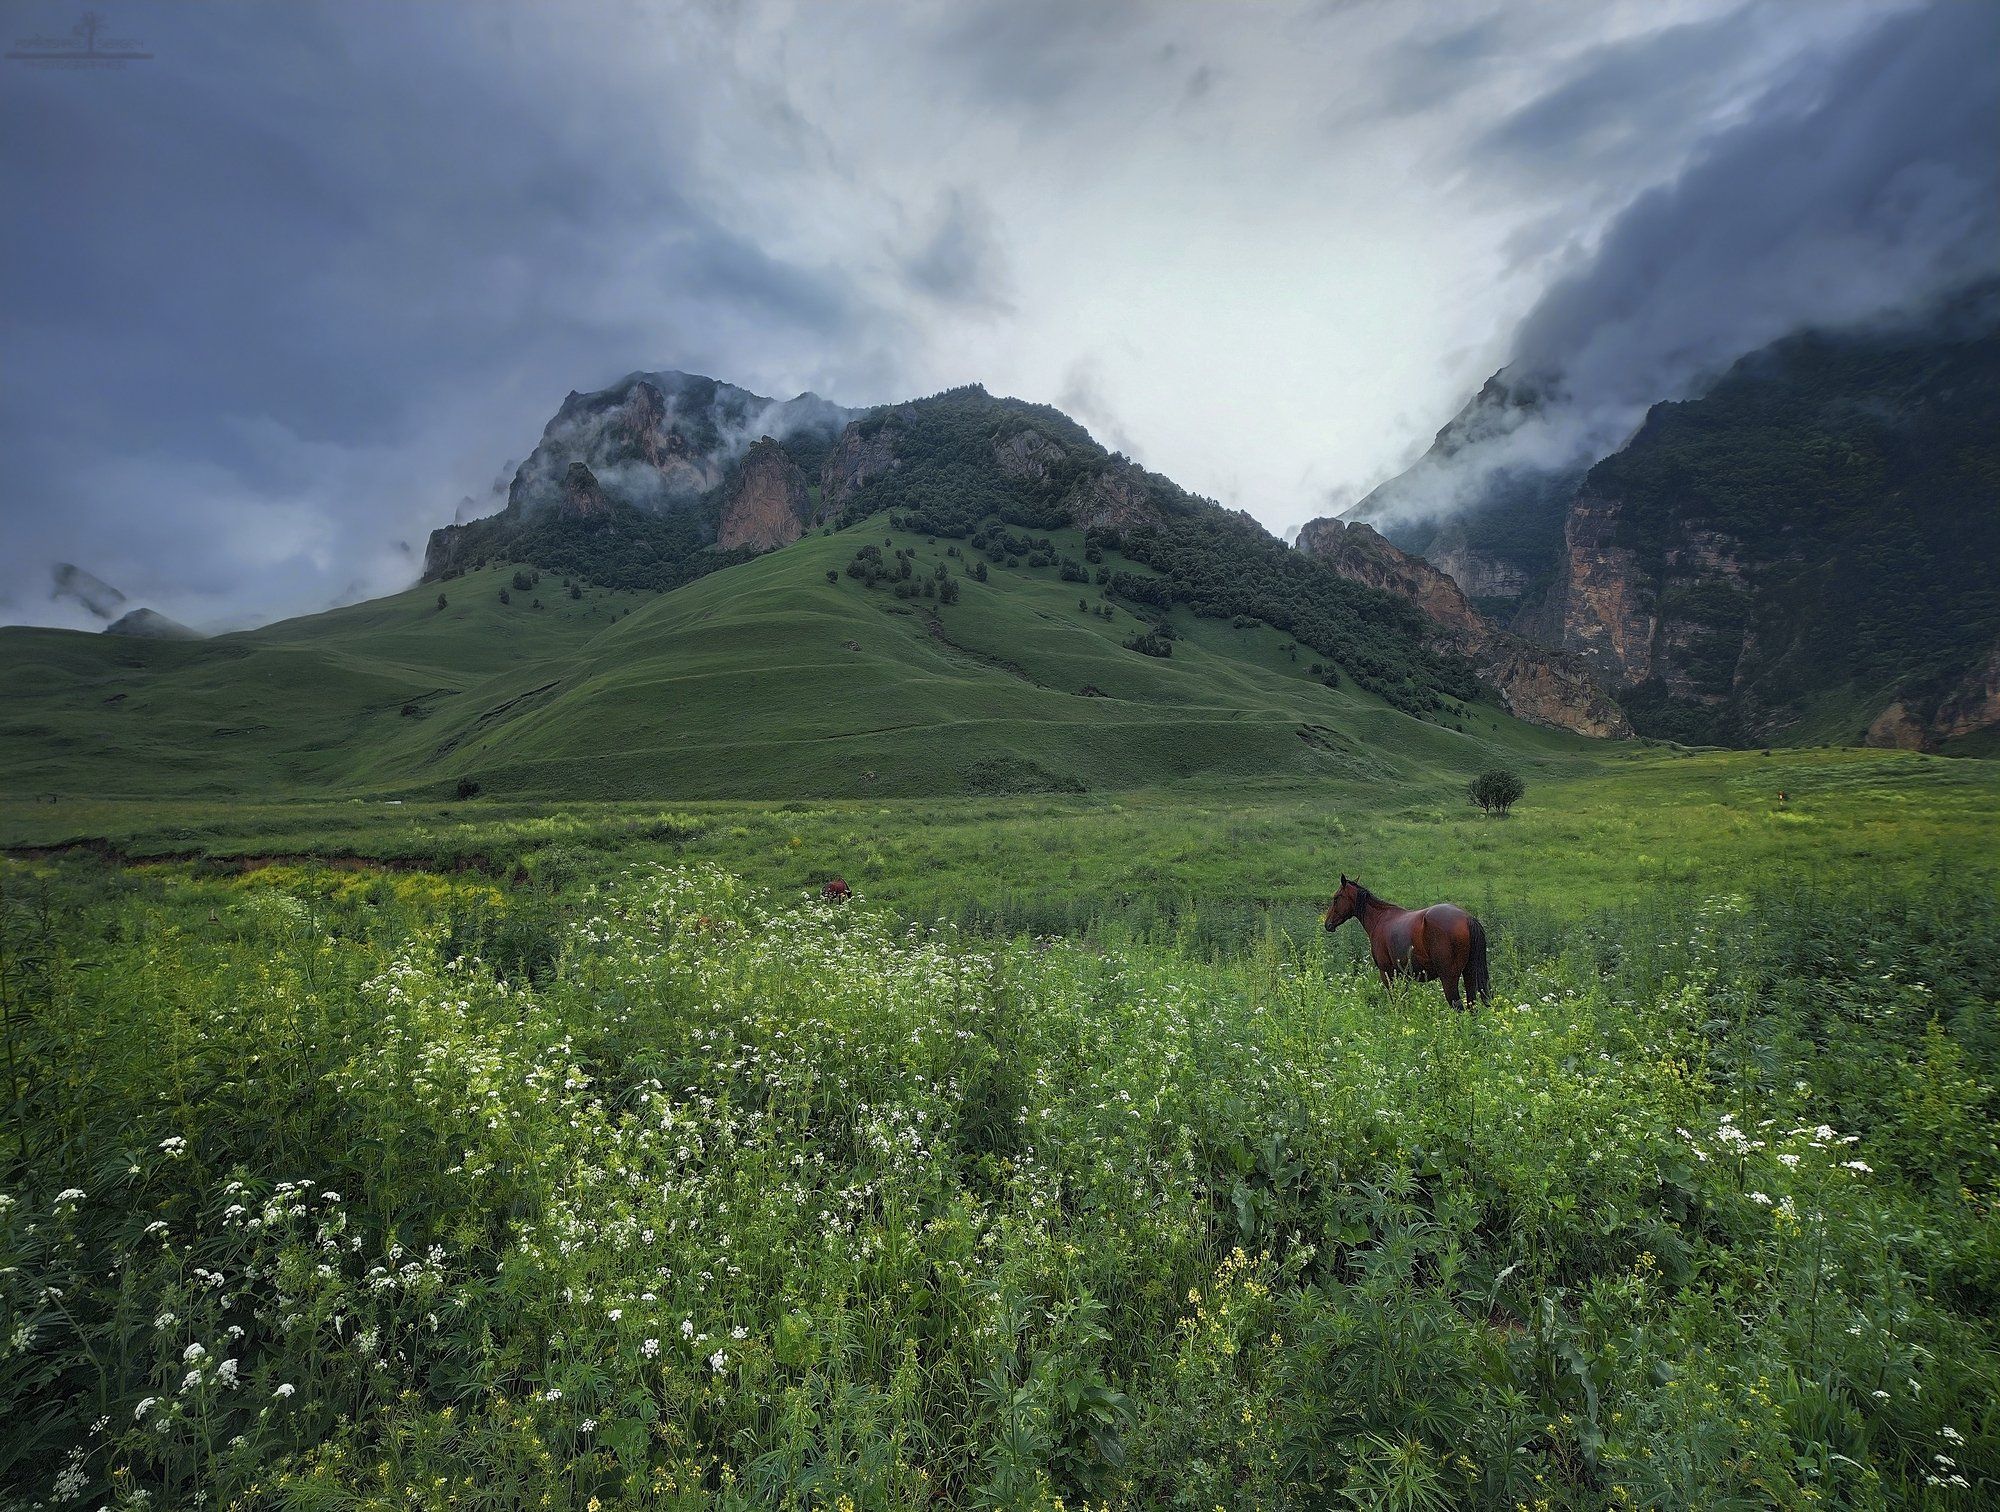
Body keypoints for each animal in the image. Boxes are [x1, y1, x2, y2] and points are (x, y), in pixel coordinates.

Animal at [1328, 876, 1488, 1016]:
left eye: (1336, 898)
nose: (1327, 923)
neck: (1380, 919)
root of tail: (1467, 918)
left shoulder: (1387, 973)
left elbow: (1395, 1000)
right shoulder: (1402, 975)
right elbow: (1403, 1000)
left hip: (1449, 978)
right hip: (1468, 974)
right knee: (1472, 1006)